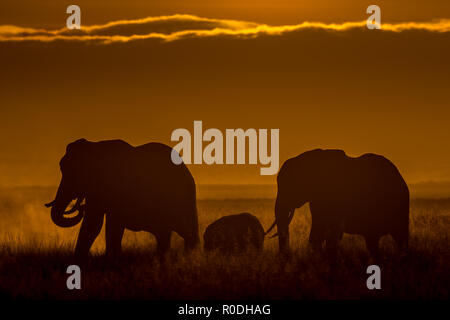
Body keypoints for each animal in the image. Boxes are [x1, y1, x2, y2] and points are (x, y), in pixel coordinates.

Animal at [44, 139, 198, 258]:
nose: (80, 207)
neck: (96, 147)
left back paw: (190, 258)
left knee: (186, 231)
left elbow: (112, 224)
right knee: (165, 234)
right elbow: (92, 224)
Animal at [266, 148, 410, 255]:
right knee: (373, 240)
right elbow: (318, 231)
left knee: (400, 236)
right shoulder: (317, 199)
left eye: (290, 186)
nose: (287, 254)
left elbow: (332, 232)